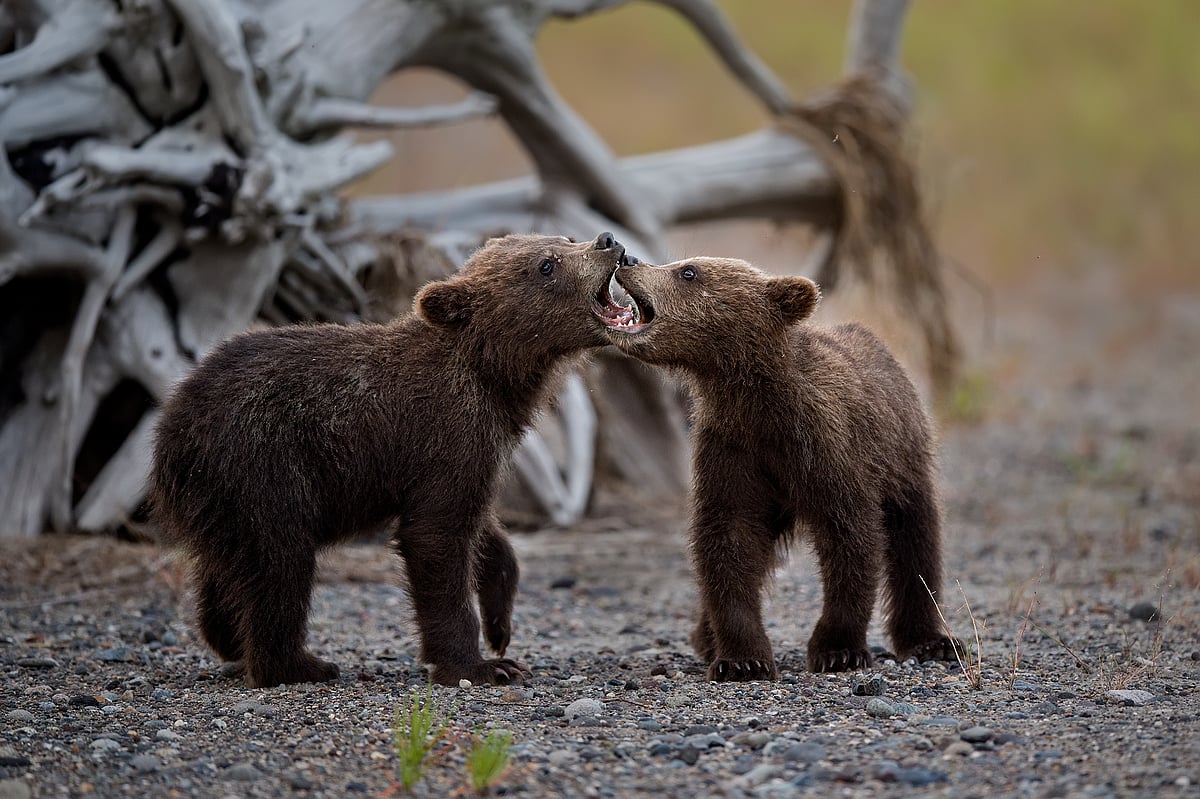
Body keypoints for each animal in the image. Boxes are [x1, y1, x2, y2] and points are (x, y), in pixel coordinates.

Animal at [149, 231, 631, 688]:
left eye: (565, 239)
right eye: (546, 264)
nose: (607, 241)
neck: (493, 376)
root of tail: (173, 424)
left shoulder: (481, 449)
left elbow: (482, 530)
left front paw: (500, 626)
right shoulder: (446, 432)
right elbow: (435, 538)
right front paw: (480, 666)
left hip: (216, 493)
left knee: (228, 563)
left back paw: (228, 636)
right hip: (260, 462)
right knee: (280, 562)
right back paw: (300, 664)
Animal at [591, 255, 961, 680]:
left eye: (688, 271)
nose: (628, 259)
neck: (759, 401)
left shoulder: (826, 449)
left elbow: (851, 538)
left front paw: (838, 651)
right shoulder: (732, 450)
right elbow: (729, 540)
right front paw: (741, 659)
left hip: (903, 456)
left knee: (915, 538)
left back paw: (932, 640)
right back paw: (704, 636)